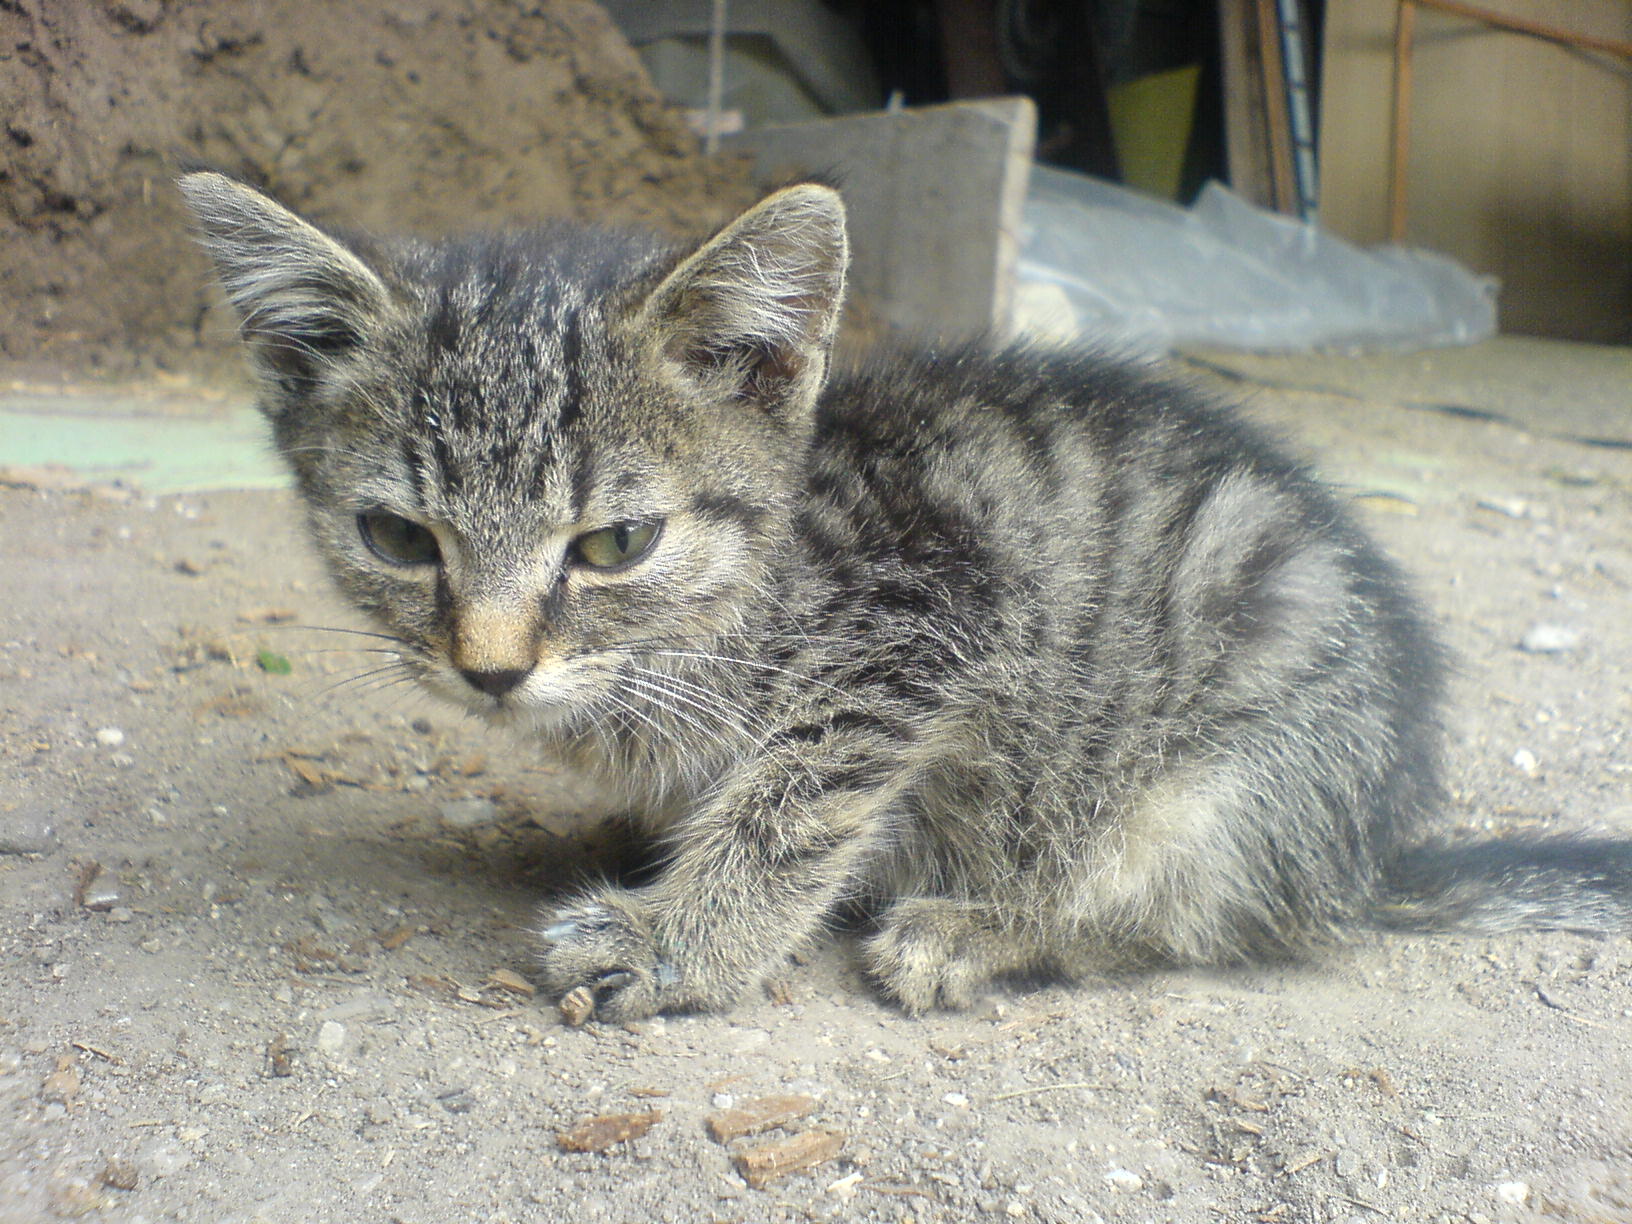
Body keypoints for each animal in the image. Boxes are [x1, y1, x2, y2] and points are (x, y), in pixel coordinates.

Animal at [181, 170, 1632, 1018]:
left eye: (614, 545)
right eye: (396, 537)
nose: (489, 667)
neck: (747, 587)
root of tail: (1372, 849)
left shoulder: (923, 618)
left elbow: (791, 804)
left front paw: (681, 938)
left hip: (1222, 771)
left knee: (1189, 923)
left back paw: (980, 930)